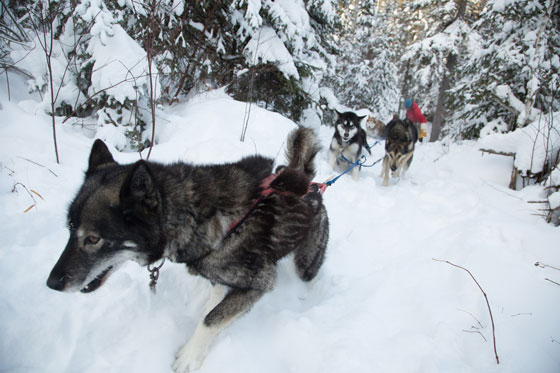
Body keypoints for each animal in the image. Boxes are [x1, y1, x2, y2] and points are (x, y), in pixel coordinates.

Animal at [48, 127, 330, 370]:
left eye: (92, 239)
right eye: (69, 228)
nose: (52, 283)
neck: (197, 216)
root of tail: (309, 182)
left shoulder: (259, 283)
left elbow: (211, 320)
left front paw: (189, 356)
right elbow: (215, 301)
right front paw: (211, 305)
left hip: (305, 262)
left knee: (310, 276)